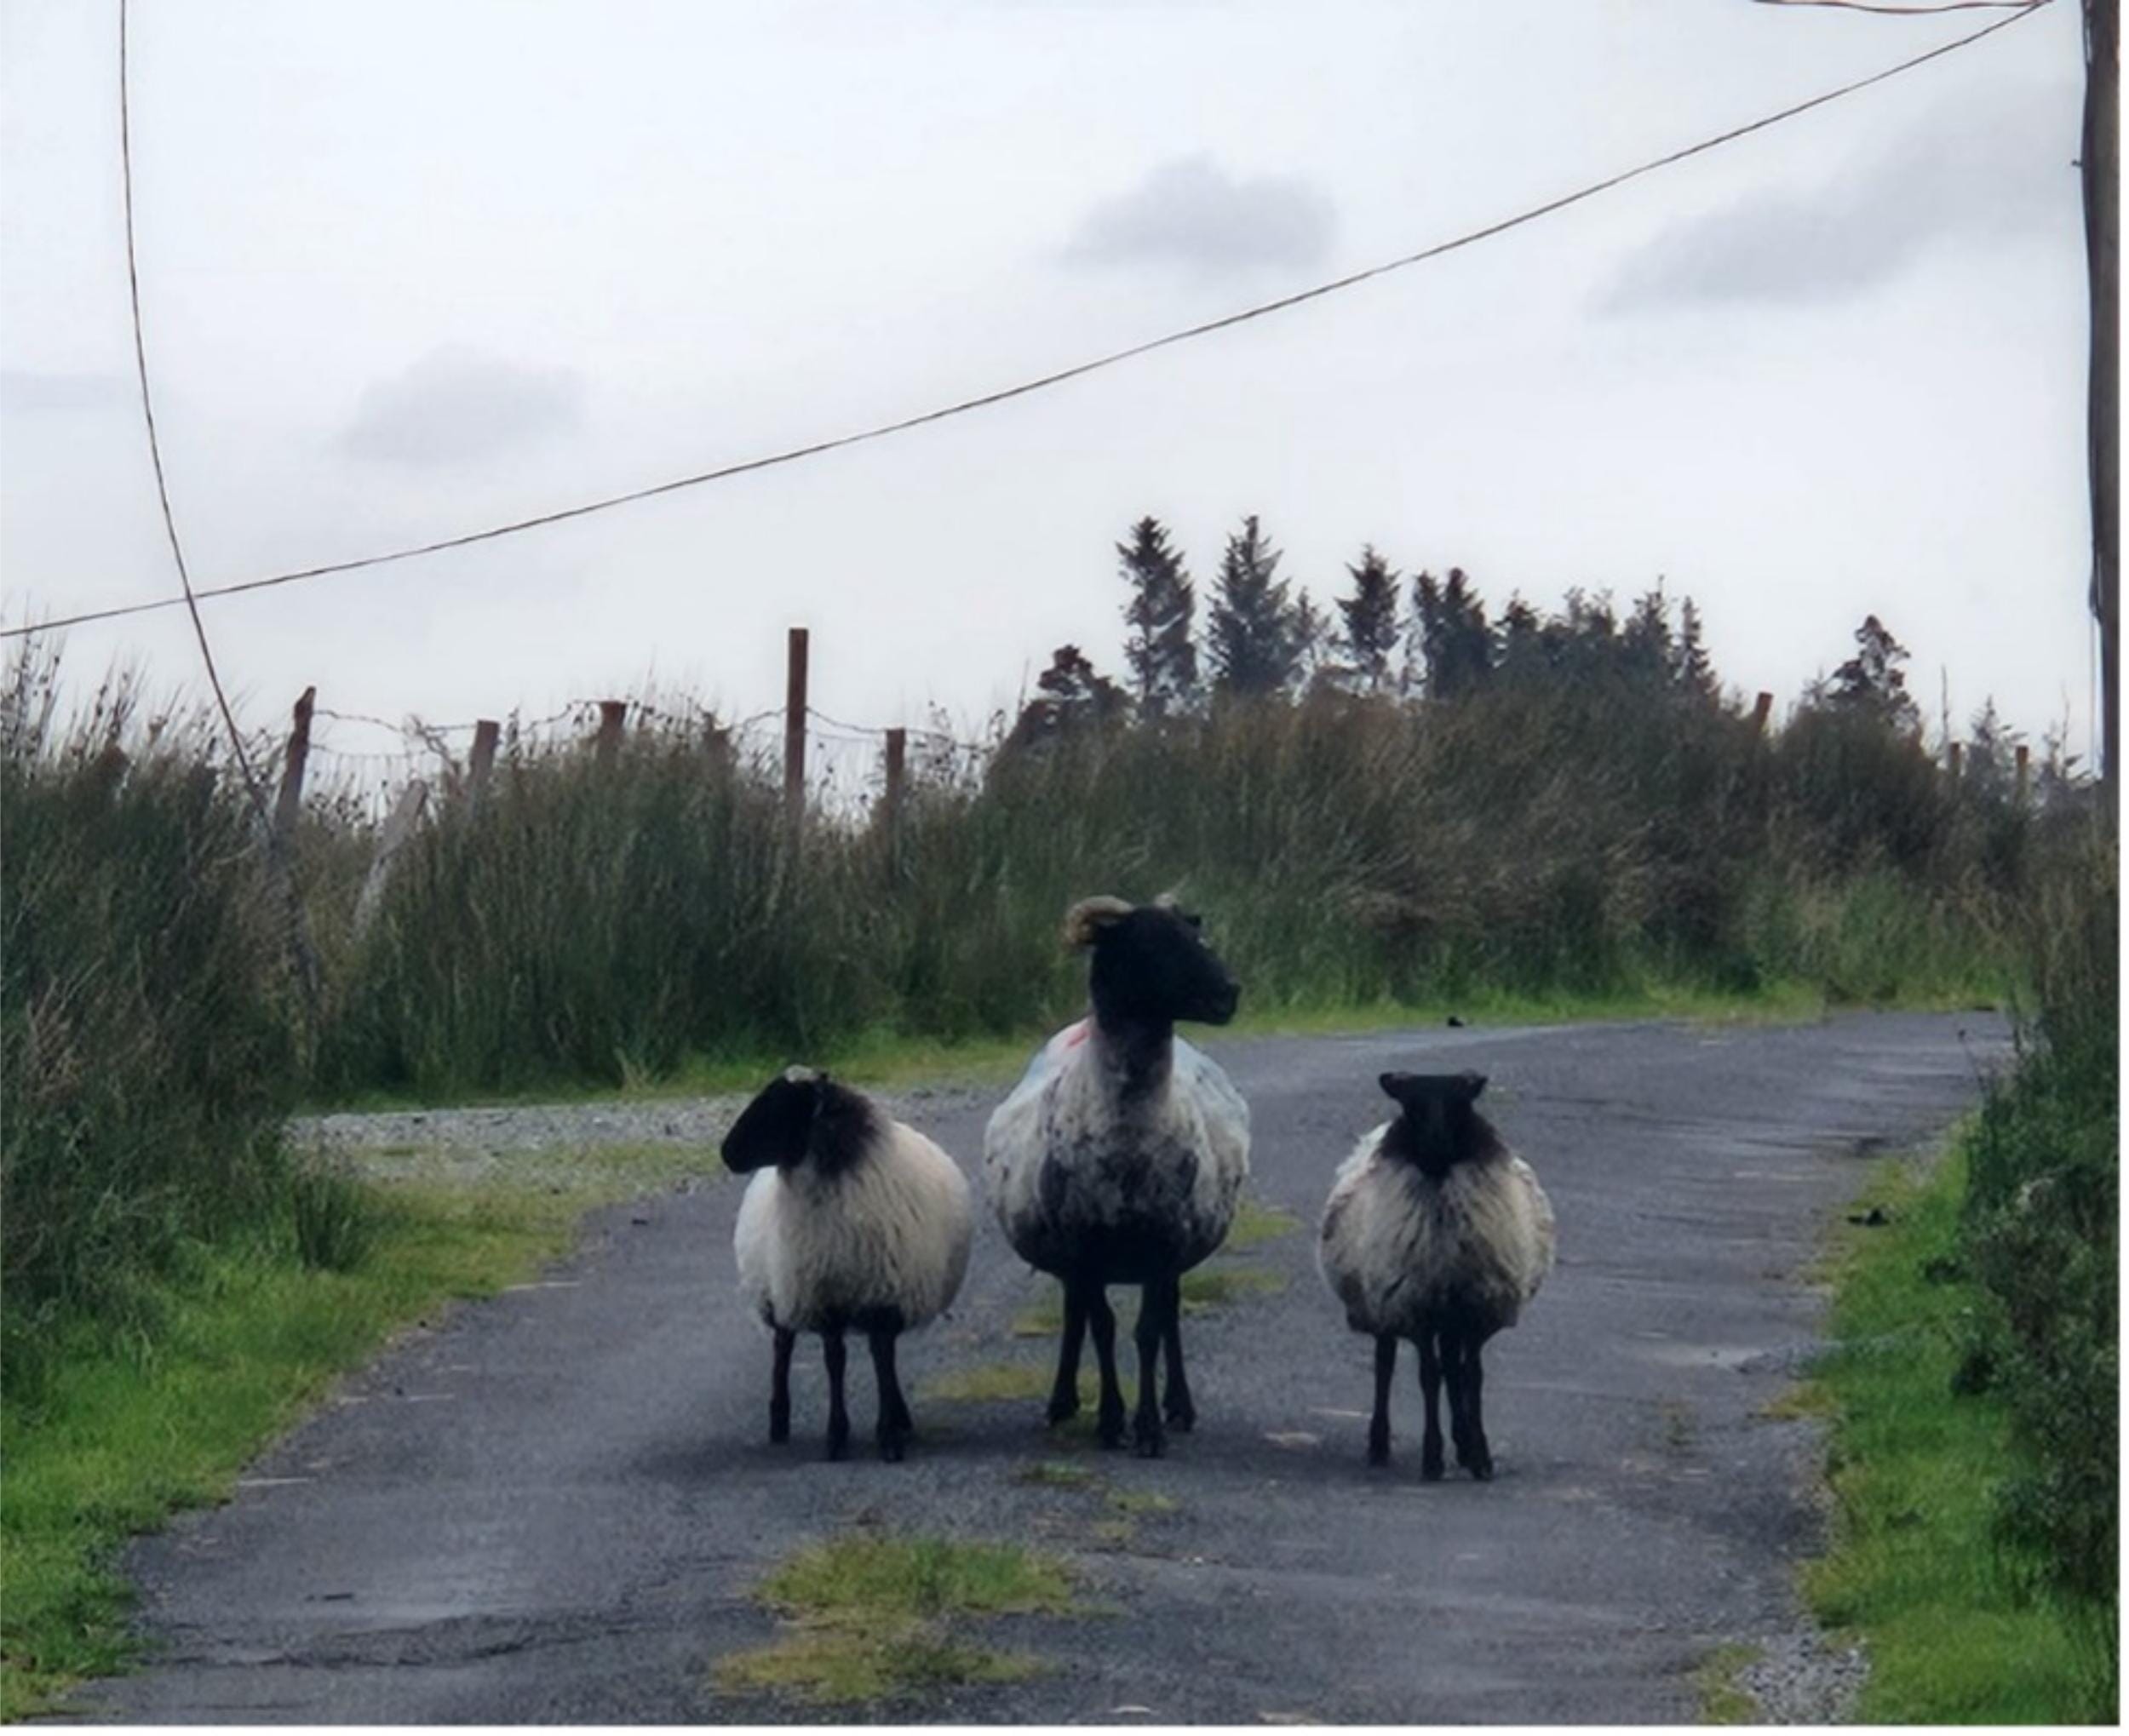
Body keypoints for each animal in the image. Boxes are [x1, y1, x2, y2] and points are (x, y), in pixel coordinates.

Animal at [723, 1067, 973, 1462]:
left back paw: (900, 1415)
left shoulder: (886, 1293)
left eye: (781, 1104)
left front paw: (889, 1435)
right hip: (777, 1291)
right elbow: (835, 1360)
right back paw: (778, 1422)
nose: (726, 1152)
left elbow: (883, 1357)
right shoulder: (826, 1296)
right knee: (782, 1348)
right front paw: (837, 1436)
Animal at [984, 894, 1249, 1458]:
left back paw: (1179, 1406)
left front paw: (1147, 1427)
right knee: (1075, 1314)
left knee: (1169, 1314)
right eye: (1148, 944)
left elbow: (1147, 1331)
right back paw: (1061, 1403)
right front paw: (1109, 1420)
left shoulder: (1163, 1239)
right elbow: (1102, 1327)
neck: (1129, 1128)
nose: (1229, 992)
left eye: (1194, 935)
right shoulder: (1083, 1243)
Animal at [1317, 1070, 1554, 1479]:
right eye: (1412, 1105)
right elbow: (1428, 1376)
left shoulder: (1473, 1309)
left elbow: (1471, 1375)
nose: (1436, 1144)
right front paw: (1432, 1457)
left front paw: (1479, 1456)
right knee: (1386, 1364)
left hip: (1449, 1315)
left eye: (1460, 1102)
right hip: (1385, 1303)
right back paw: (1379, 1443)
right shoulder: (1418, 1306)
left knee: (1453, 1369)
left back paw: (1462, 1443)